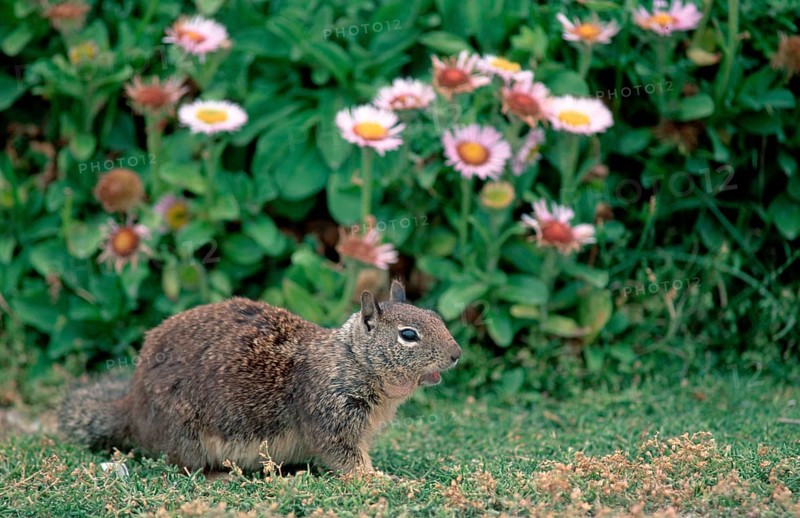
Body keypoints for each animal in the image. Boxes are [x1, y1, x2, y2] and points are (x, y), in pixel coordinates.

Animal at [59, 281, 461, 475]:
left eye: (434, 316)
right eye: (408, 335)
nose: (457, 354)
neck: (350, 361)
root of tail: (133, 405)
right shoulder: (330, 417)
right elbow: (345, 458)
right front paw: (378, 479)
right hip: (187, 437)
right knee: (183, 467)